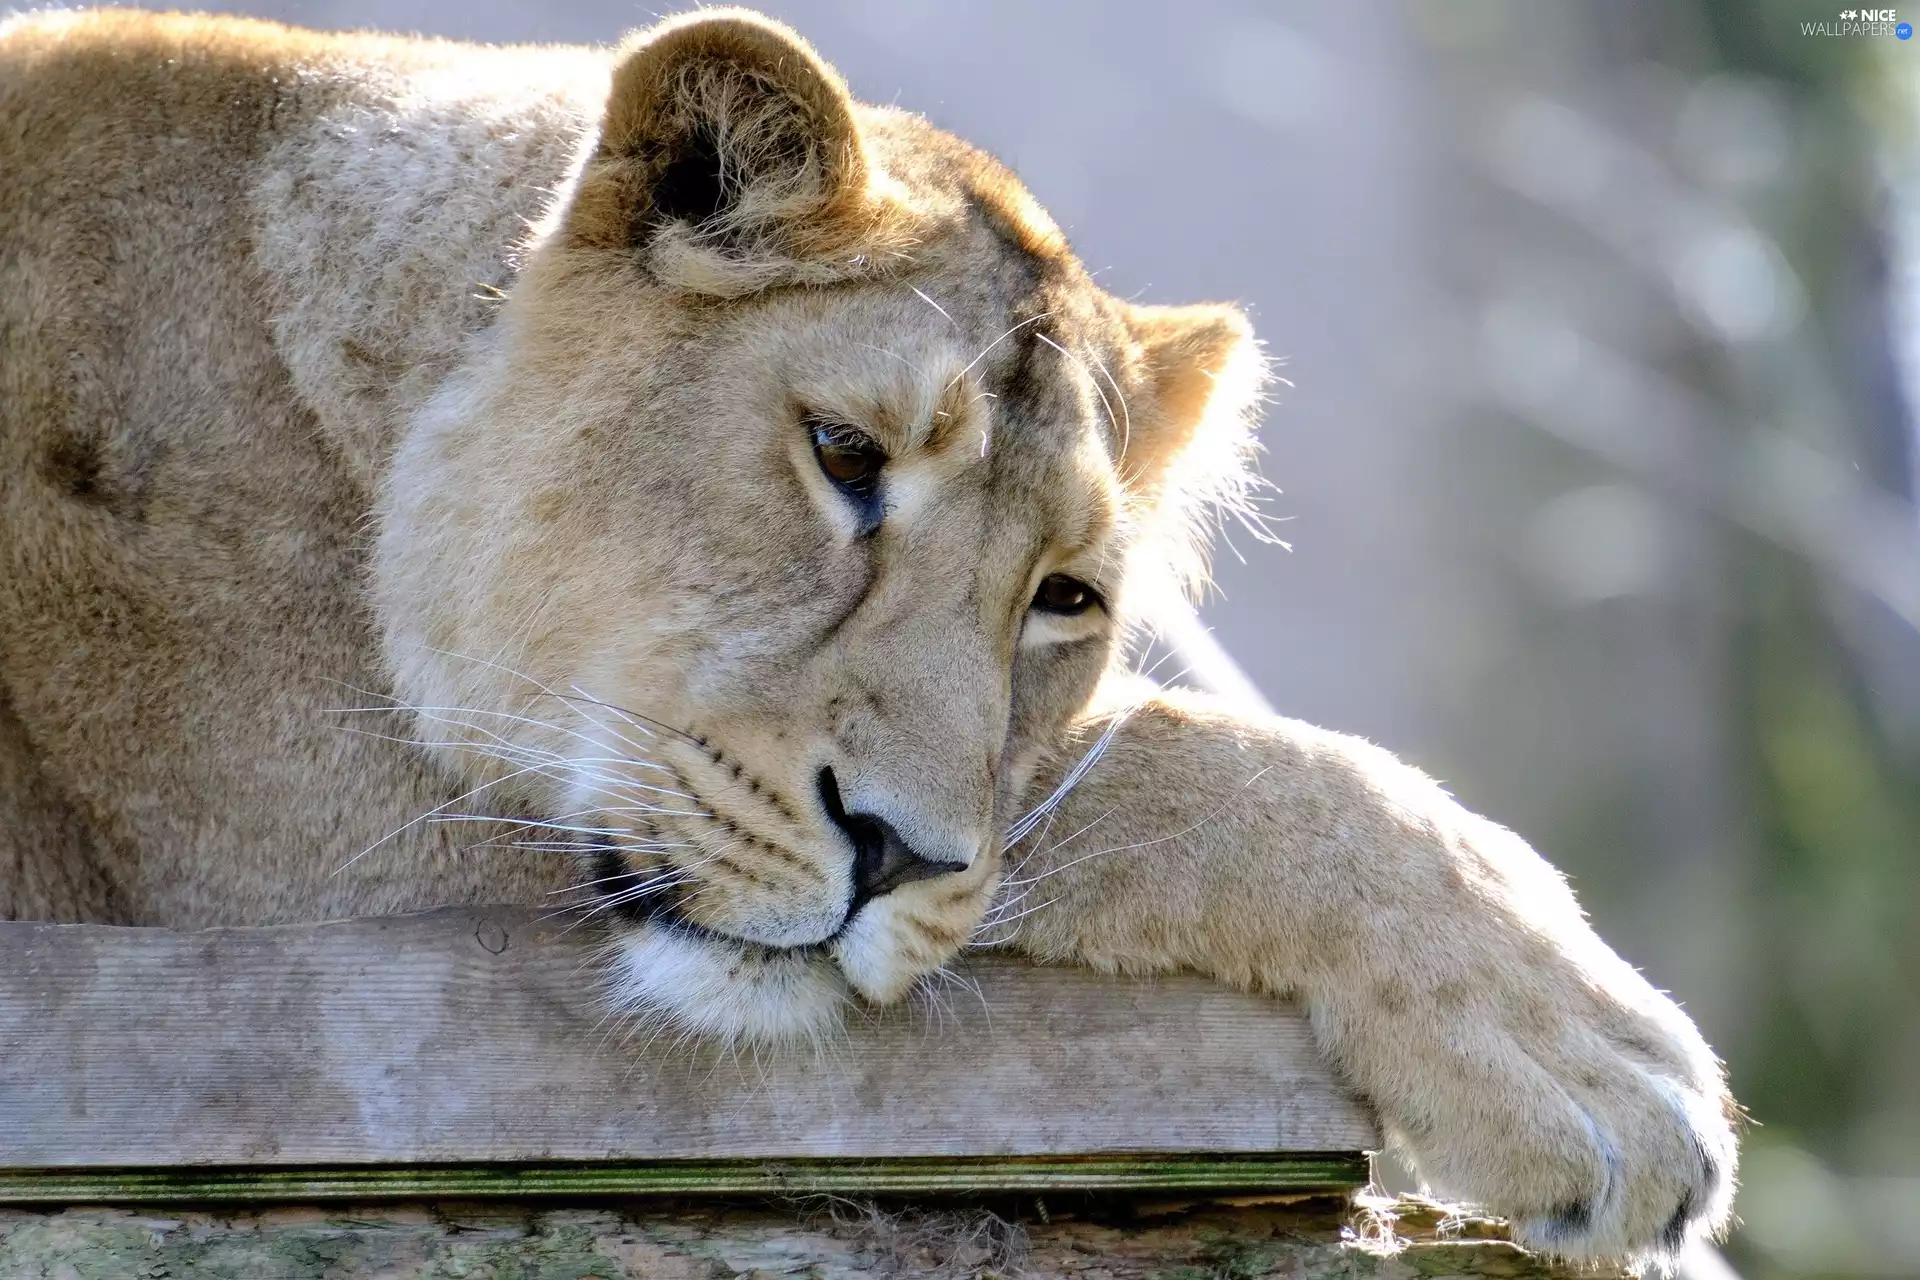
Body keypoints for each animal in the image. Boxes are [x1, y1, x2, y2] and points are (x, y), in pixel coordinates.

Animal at [0, 7, 1735, 1265]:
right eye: (844, 456)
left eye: (1067, 598)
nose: (893, 856)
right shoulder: (308, 874)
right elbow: (1162, 768)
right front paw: (1590, 1059)